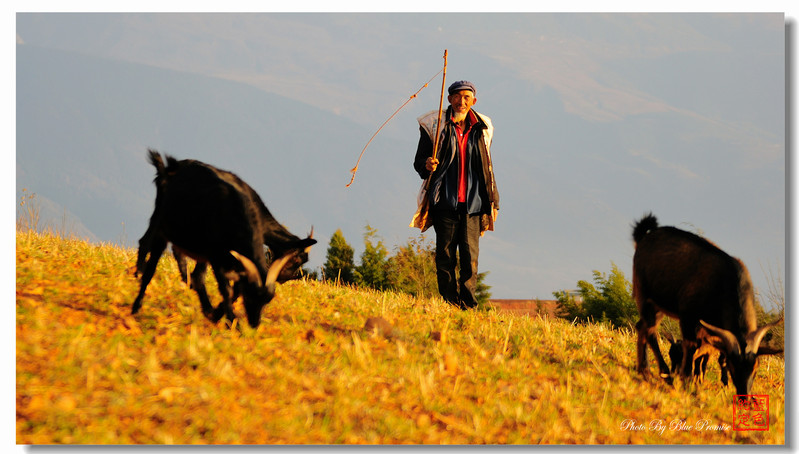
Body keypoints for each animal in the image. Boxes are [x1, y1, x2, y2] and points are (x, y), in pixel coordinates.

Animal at [133, 151, 318, 328]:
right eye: (296, 258)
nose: (284, 277)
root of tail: (170, 166)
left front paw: (216, 312)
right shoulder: (218, 253)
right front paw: (225, 317)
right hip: (161, 216)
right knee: (146, 241)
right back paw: (138, 275)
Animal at [632, 215, 780, 396]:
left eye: (756, 368)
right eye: (734, 366)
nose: (744, 395)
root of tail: (645, 236)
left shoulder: (712, 330)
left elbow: (711, 354)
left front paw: (709, 382)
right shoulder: (688, 316)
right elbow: (692, 346)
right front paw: (687, 380)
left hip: (660, 304)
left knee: (642, 327)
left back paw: (643, 370)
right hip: (644, 294)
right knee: (651, 332)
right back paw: (663, 373)